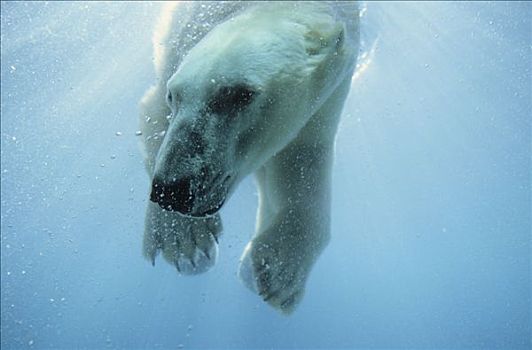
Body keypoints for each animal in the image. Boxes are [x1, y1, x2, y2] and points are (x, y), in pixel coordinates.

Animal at [139, 2, 360, 314]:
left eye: (241, 94)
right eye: (175, 96)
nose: (172, 189)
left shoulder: (330, 89)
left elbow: (302, 160)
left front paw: (279, 272)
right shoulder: (174, 52)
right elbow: (154, 115)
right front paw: (185, 242)